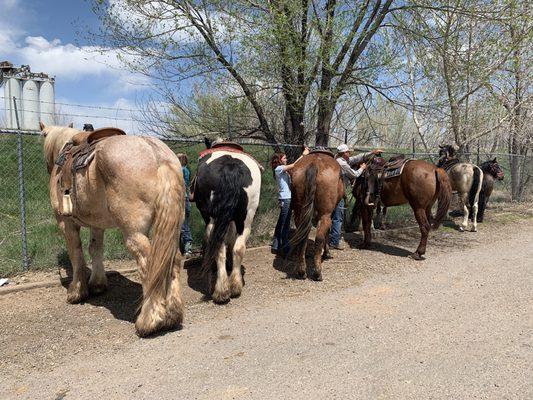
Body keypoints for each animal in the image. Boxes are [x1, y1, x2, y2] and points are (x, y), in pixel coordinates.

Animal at [41, 123, 185, 336]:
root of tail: (157, 153)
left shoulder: (65, 223)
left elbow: (76, 254)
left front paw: (76, 291)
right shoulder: (97, 225)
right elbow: (95, 249)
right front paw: (97, 284)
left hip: (134, 232)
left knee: (149, 263)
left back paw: (150, 320)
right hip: (171, 230)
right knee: (172, 260)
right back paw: (173, 314)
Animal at [195, 138, 262, 304]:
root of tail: (230, 166)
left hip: (213, 220)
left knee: (218, 247)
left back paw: (221, 291)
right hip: (246, 220)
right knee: (238, 247)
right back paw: (235, 287)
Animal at [288, 151, 342, 282]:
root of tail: (314, 163)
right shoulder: (329, 214)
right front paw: (327, 253)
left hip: (299, 213)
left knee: (302, 237)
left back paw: (301, 271)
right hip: (325, 215)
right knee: (319, 238)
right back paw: (317, 273)